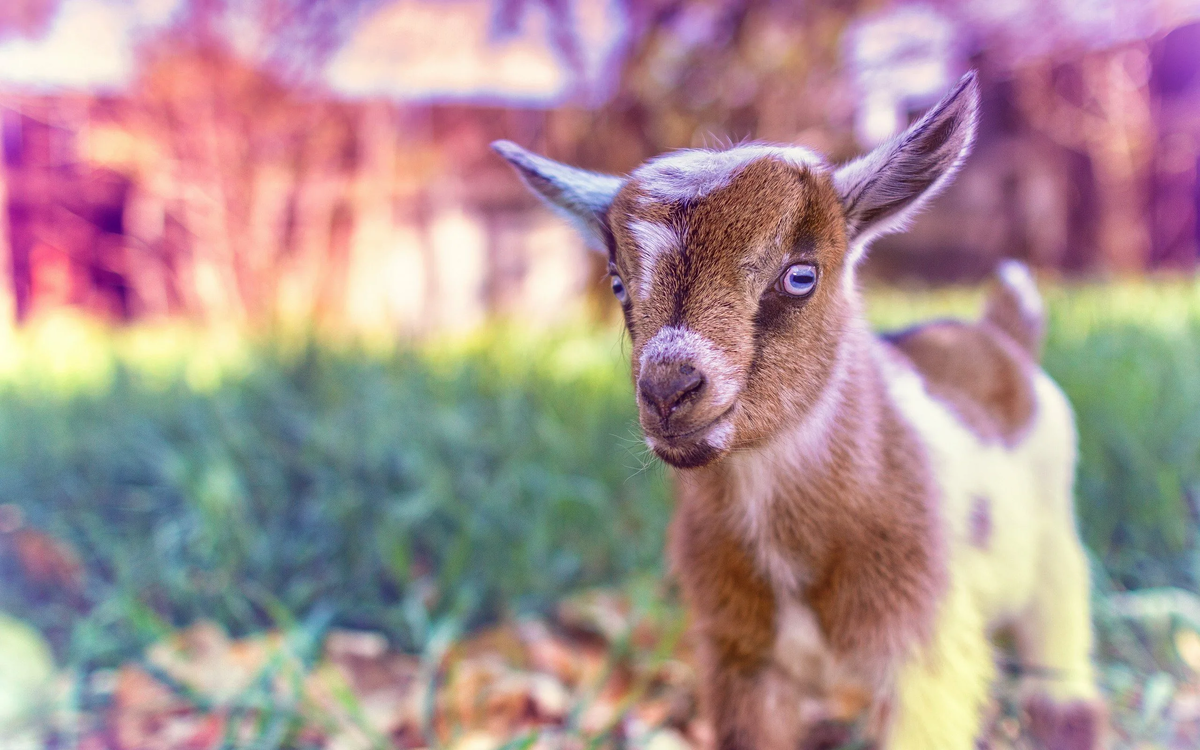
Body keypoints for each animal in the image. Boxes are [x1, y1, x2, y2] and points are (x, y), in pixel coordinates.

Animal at [494, 71, 1099, 748]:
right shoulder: (738, 658)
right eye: (619, 283)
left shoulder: (929, 654)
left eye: (801, 276)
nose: (668, 390)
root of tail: (1000, 333)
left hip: (1055, 542)